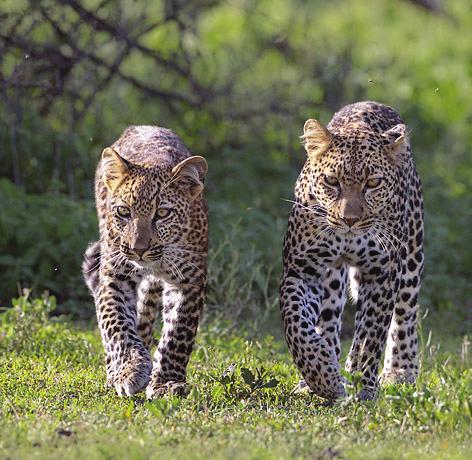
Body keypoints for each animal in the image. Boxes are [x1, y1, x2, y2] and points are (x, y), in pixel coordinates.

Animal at [82, 126, 207, 398]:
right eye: (123, 212)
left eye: (162, 213)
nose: (139, 249)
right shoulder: (115, 277)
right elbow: (117, 325)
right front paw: (130, 369)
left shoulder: (188, 280)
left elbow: (177, 332)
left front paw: (167, 382)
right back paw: (115, 371)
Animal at [280, 99, 424, 398]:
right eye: (331, 181)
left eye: (373, 183)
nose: (350, 220)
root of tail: (371, 102)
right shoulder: (303, 269)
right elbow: (295, 322)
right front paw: (320, 375)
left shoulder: (382, 273)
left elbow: (370, 335)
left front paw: (363, 384)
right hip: (331, 276)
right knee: (328, 317)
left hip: (412, 250)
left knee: (406, 309)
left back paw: (399, 372)